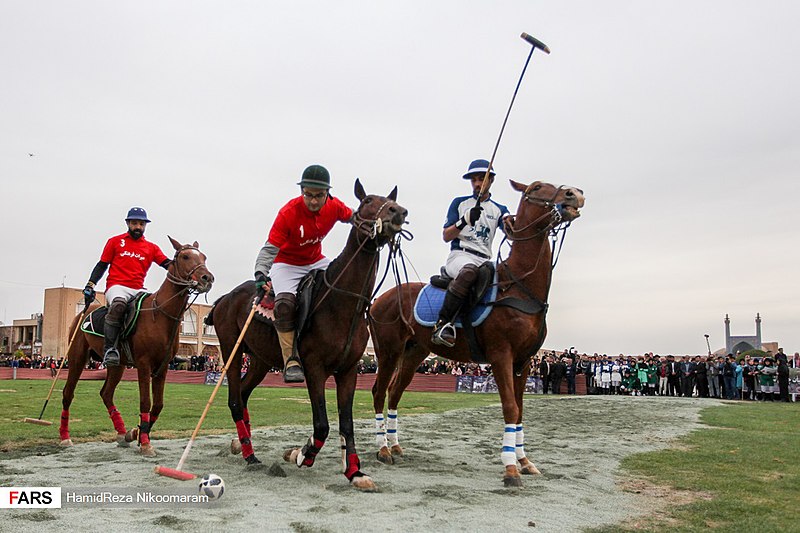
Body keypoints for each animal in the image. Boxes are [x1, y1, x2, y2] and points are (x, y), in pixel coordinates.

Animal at [59, 239, 214, 456]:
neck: (161, 314)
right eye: (185, 256)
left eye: (204, 257)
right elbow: (145, 402)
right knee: (68, 393)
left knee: (106, 393)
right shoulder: (143, 363)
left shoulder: (162, 367)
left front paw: (138, 433)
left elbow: (157, 405)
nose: (207, 278)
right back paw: (65, 437)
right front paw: (145, 443)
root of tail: (83, 312)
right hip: (77, 357)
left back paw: (122, 433)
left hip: (117, 365)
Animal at [208, 180, 406, 490]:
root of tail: (225, 298)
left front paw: (354, 472)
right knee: (235, 400)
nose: (399, 212)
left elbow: (346, 423)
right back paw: (250, 456)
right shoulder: (314, 369)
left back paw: (242, 444)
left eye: (390, 200)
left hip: (261, 360)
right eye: (367, 201)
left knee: (244, 393)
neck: (344, 302)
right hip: (231, 350)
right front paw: (300, 454)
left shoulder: (348, 370)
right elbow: (322, 425)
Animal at [368, 180, 580, 486]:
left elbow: (520, 409)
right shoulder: (501, 355)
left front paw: (524, 461)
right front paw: (510, 468)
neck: (520, 286)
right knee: (378, 391)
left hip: (415, 352)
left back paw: (395, 445)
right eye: (537, 186)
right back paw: (383, 449)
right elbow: (510, 407)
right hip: (388, 351)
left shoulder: (525, 362)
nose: (575, 194)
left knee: (395, 391)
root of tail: (377, 299)